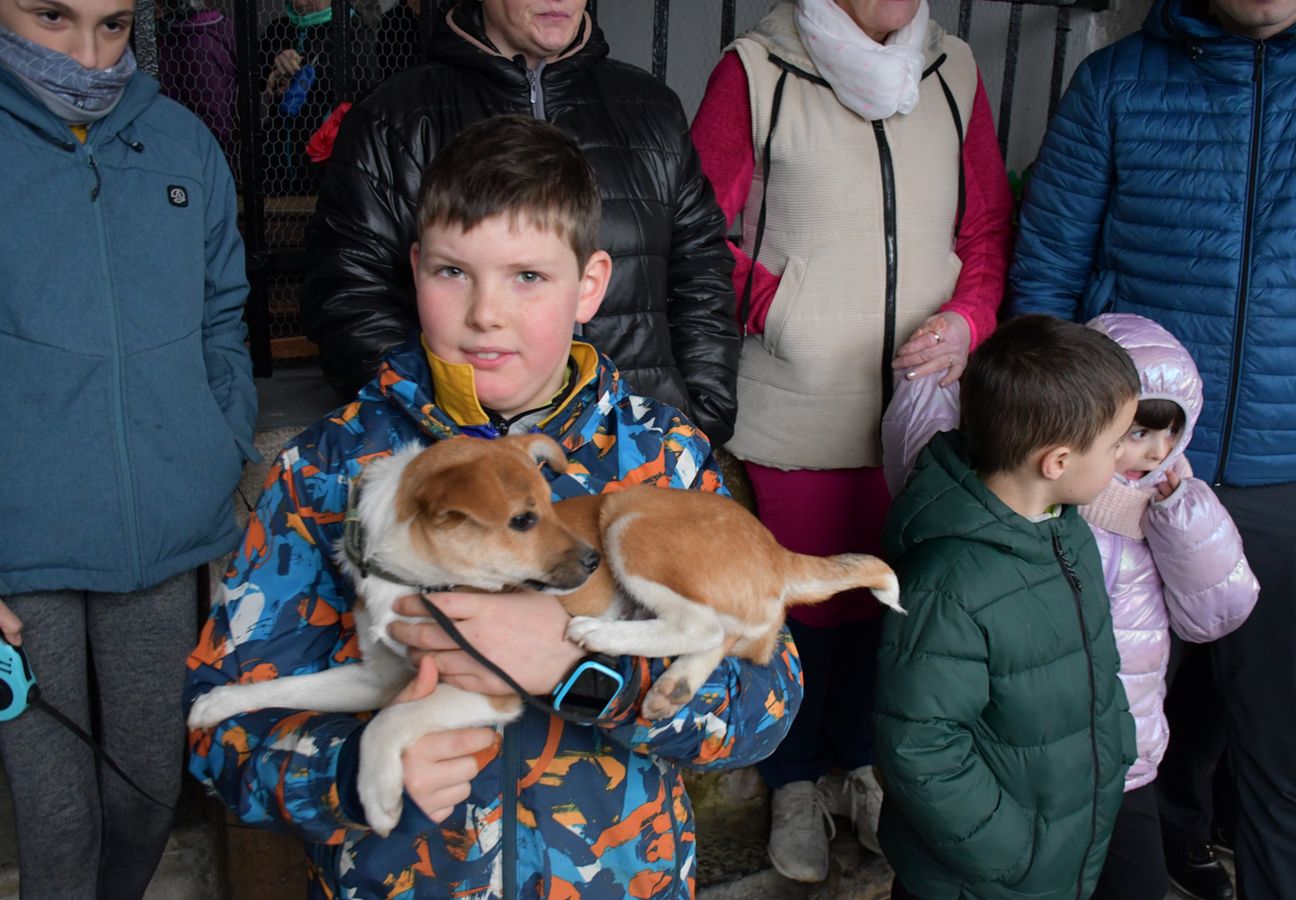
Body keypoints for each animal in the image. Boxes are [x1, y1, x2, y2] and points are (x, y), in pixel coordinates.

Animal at [188, 433, 901, 834]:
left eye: (547, 504)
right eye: (523, 520)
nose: (587, 563)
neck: (416, 583)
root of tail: (775, 549)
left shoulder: (485, 682)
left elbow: (390, 723)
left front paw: (380, 796)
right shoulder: (375, 674)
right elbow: (287, 685)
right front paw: (217, 703)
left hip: (629, 517)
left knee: (701, 623)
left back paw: (603, 635)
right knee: (728, 636)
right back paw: (671, 687)